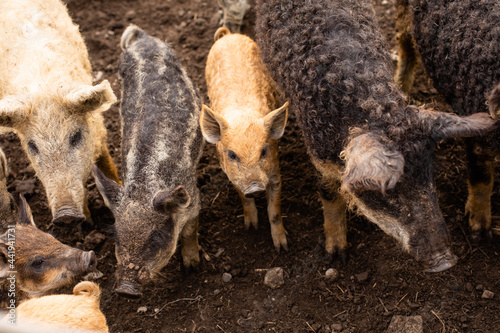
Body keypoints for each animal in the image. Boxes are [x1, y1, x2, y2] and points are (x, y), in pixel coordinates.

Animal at [93, 24, 204, 296]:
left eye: (155, 238)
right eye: (117, 237)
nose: (125, 288)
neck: (144, 189)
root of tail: (142, 39)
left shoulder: (194, 200)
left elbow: (190, 232)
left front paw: (192, 268)